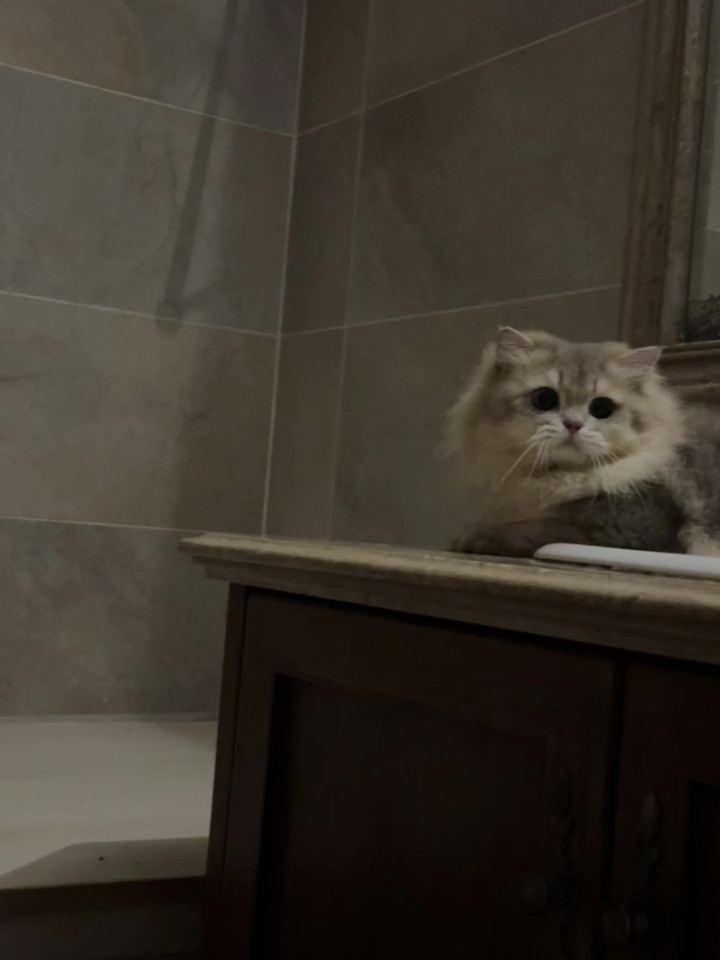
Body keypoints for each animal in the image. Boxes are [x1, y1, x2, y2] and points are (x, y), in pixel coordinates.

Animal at [446, 326, 720, 558]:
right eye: (544, 399)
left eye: (602, 408)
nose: (573, 425)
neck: (560, 477)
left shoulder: (627, 531)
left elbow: (539, 527)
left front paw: (476, 535)